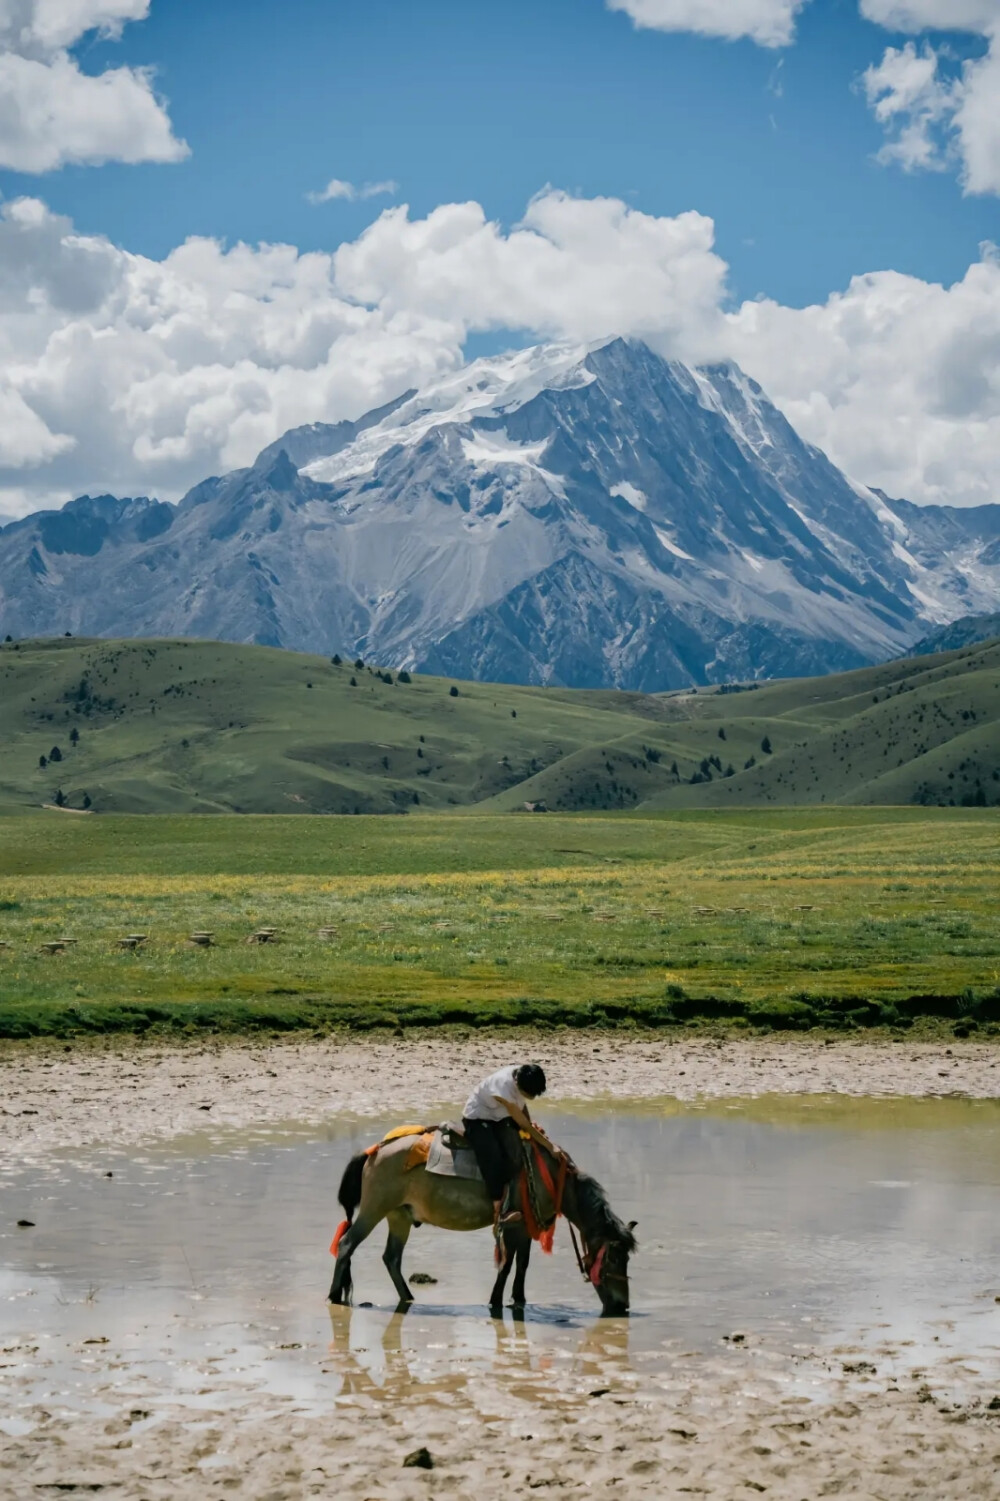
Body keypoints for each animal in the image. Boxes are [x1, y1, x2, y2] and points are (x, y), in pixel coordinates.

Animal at [327, 1128, 639, 1320]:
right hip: (373, 1210)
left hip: (399, 1216)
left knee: (391, 1258)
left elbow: (522, 1264)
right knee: (346, 1244)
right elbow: (507, 1264)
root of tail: (373, 1152)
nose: (622, 1306)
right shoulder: (513, 1225)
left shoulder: (525, 1228)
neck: (550, 1177)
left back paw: (409, 1298)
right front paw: (496, 1301)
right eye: (614, 1258)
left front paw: (519, 1300)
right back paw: (333, 1296)